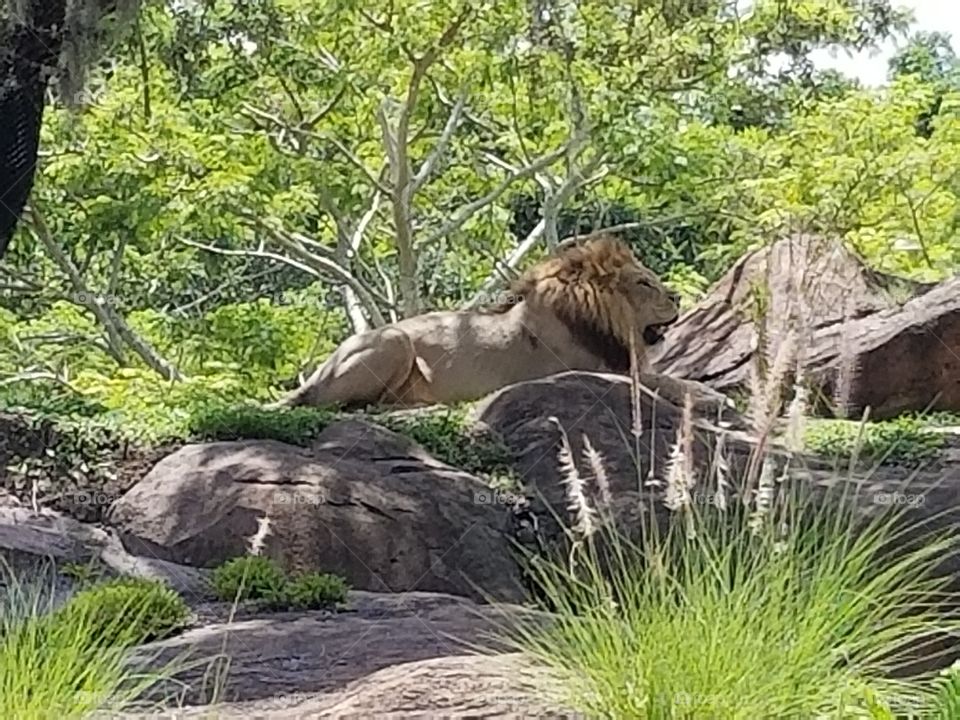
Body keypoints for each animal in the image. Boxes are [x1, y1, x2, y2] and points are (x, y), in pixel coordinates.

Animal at [274, 231, 732, 410]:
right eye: (644, 282)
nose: (677, 296)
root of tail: (322, 369)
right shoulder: (595, 370)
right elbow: (661, 380)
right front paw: (713, 396)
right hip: (394, 342)